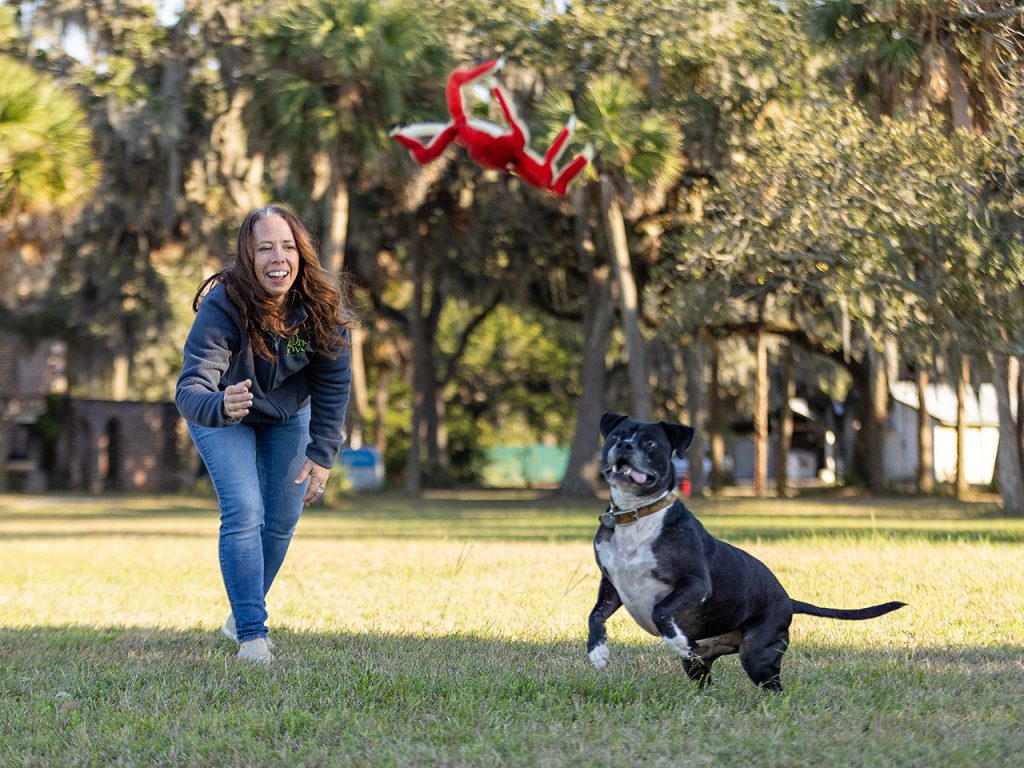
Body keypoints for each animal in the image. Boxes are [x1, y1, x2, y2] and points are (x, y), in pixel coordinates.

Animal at [589, 415, 909, 692]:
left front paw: (676, 640)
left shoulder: (695, 584)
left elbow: (661, 610)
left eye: (650, 442)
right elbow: (595, 615)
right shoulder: (612, 585)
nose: (624, 445)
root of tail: (788, 600)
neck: (636, 516)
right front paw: (597, 652)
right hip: (700, 662)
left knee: (774, 687)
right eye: (616, 436)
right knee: (704, 680)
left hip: (757, 655)